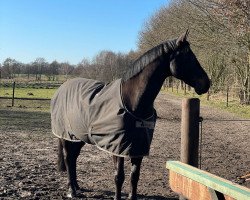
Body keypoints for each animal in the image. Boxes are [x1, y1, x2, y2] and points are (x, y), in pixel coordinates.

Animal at [50, 30, 209, 199]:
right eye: (188, 57)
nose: (206, 83)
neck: (132, 102)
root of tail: (61, 88)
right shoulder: (117, 147)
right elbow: (119, 177)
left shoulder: (139, 146)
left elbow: (135, 176)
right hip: (67, 136)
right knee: (68, 158)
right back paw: (72, 191)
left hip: (79, 137)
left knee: (73, 158)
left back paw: (77, 187)